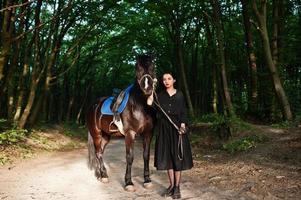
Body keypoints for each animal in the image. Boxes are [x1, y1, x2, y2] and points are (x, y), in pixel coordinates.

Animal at [84, 54, 155, 191]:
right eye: (137, 67)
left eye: (152, 66)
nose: (147, 88)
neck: (140, 106)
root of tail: (93, 105)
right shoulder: (130, 134)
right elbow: (130, 157)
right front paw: (129, 183)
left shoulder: (148, 133)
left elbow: (146, 156)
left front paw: (147, 180)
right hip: (96, 134)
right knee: (98, 153)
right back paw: (104, 176)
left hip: (106, 136)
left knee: (100, 152)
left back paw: (100, 174)